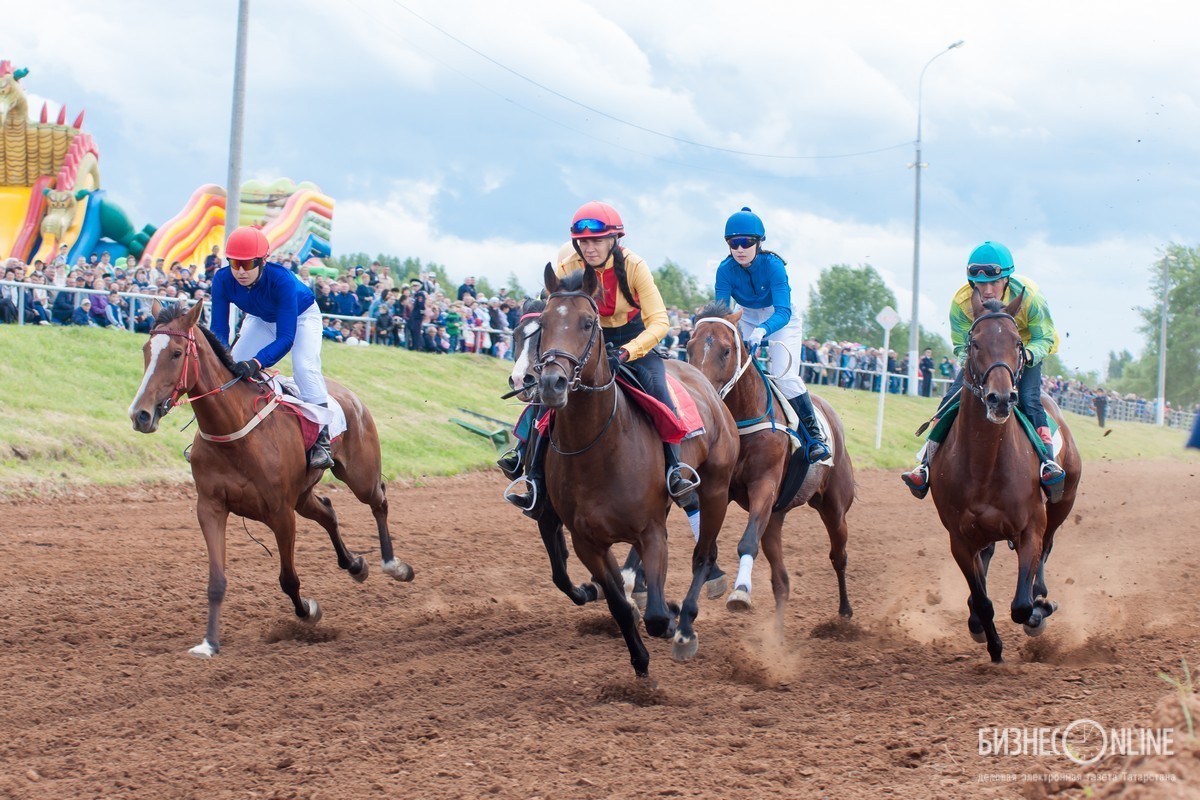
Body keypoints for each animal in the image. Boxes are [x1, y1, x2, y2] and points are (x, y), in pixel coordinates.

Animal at [127, 299, 412, 657]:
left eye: (177, 353)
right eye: (146, 349)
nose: (140, 415)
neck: (232, 432)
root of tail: (350, 395)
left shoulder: (280, 513)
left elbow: (288, 579)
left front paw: (308, 612)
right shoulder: (210, 507)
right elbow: (216, 581)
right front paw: (209, 643)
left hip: (359, 476)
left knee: (379, 500)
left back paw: (394, 565)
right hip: (302, 496)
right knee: (328, 511)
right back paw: (355, 565)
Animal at [537, 266, 739, 681]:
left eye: (587, 323)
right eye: (542, 323)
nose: (551, 382)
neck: (597, 449)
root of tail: (707, 385)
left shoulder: (651, 531)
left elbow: (658, 617)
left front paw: (673, 620)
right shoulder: (587, 541)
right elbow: (617, 603)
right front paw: (640, 662)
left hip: (715, 490)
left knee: (703, 555)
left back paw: (686, 625)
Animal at [686, 303, 854, 623]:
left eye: (726, 350)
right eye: (688, 346)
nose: (701, 397)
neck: (742, 419)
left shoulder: (764, 484)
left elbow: (746, 542)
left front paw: (740, 592)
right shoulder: (718, 489)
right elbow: (705, 540)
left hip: (835, 507)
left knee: (838, 556)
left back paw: (845, 611)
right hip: (776, 516)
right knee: (782, 581)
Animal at [931, 293, 1084, 662]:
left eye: (1017, 343)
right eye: (974, 343)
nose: (1000, 398)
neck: (984, 464)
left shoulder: (1031, 527)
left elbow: (1021, 605)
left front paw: (1039, 612)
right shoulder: (959, 539)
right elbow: (984, 601)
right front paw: (994, 648)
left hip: (1063, 502)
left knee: (1046, 550)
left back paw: (1041, 597)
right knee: (986, 561)